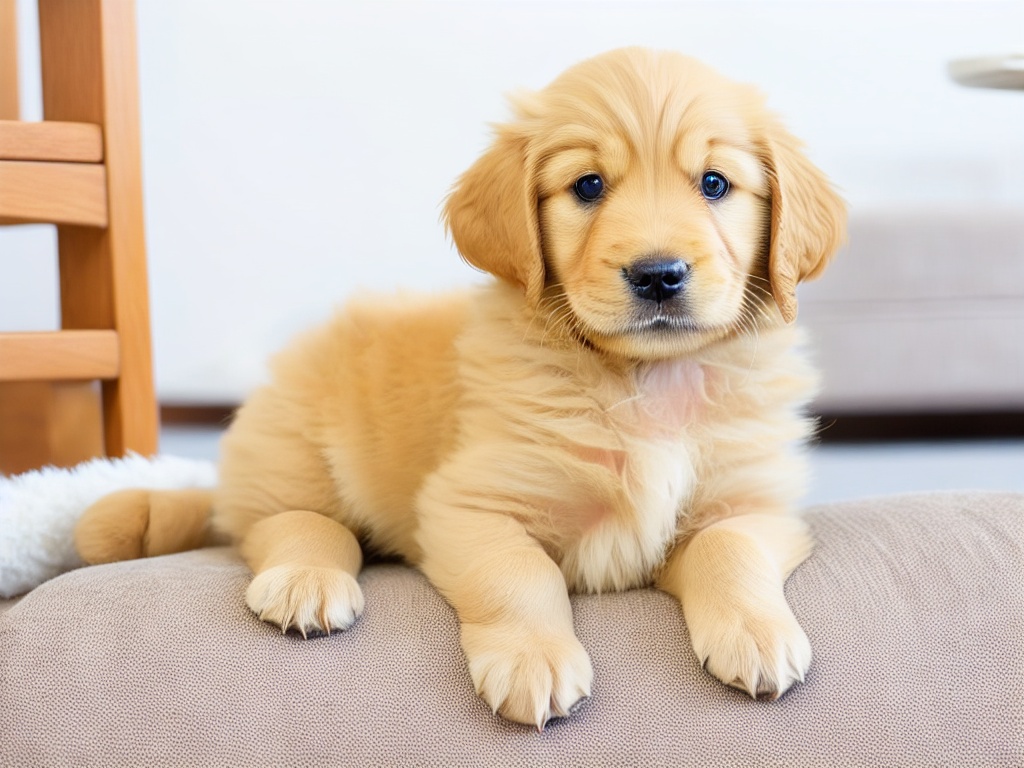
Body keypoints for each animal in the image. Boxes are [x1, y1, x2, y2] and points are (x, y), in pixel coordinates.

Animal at [74, 45, 847, 729]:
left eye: (715, 184)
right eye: (588, 186)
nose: (658, 275)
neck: (644, 378)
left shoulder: (753, 504)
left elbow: (731, 550)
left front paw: (758, 635)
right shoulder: (470, 504)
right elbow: (517, 576)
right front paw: (533, 658)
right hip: (295, 443)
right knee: (283, 524)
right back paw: (306, 581)